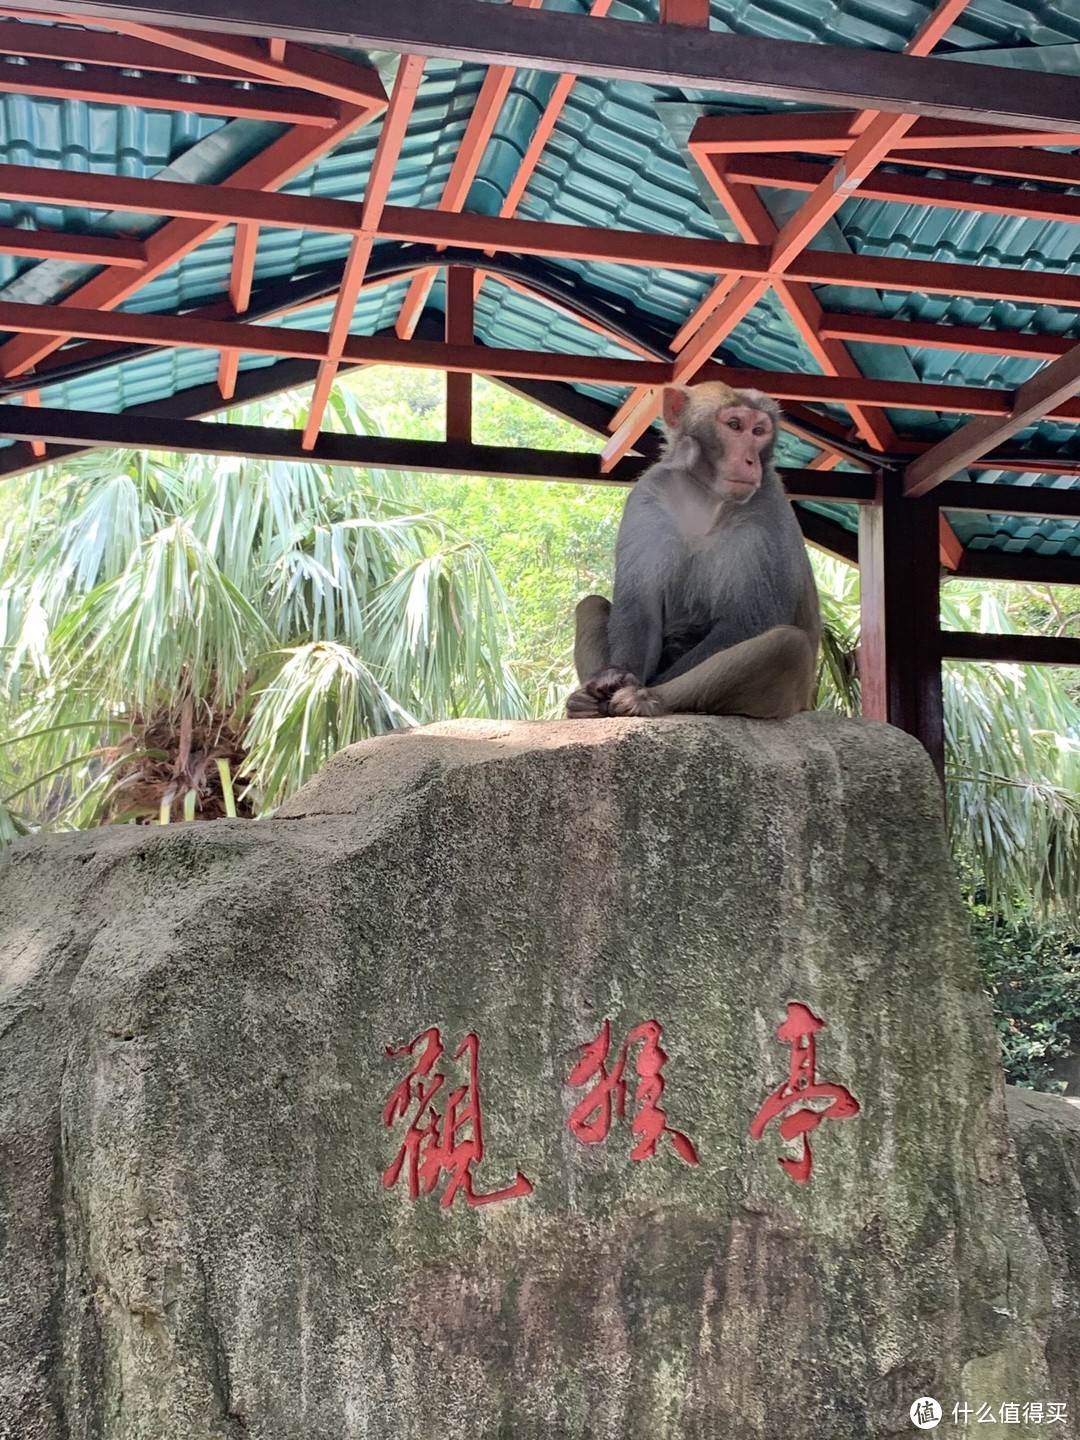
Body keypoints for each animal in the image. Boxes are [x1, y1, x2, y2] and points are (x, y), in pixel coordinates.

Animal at [570, 383, 817, 720]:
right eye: (735, 425)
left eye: (759, 431)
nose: (751, 461)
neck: (706, 496)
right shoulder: (648, 496)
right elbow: (641, 609)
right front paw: (615, 675)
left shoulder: (768, 508)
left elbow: (748, 620)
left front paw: (639, 687)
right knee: (591, 604)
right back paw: (591, 701)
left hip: (795, 700)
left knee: (788, 645)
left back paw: (649, 698)